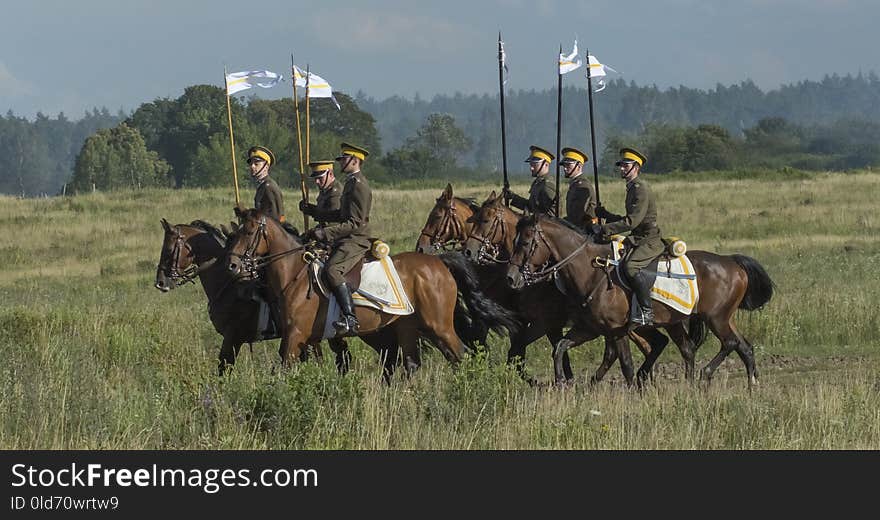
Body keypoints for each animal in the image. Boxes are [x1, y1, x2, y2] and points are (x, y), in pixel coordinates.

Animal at [227, 209, 520, 380]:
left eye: (249, 232)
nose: (232, 265)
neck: (295, 275)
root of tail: (439, 262)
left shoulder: (295, 335)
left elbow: (282, 371)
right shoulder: (306, 340)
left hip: (439, 326)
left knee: (460, 356)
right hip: (408, 326)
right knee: (413, 364)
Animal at [506, 213, 772, 388]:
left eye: (525, 242)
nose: (511, 277)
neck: (592, 272)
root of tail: (732, 262)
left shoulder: (616, 330)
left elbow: (624, 364)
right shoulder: (590, 328)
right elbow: (560, 347)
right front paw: (562, 380)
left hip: (716, 318)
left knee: (729, 343)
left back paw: (704, 375)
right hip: (700, 320)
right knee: (736, 347)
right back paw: (747, 385)